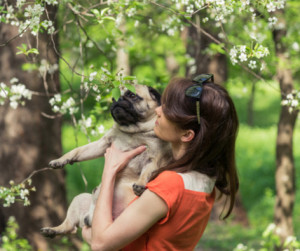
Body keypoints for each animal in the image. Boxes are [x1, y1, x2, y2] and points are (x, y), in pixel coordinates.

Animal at [40, 84, 171, 237]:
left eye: (132, 95)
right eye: (115, 98)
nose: (117, 100)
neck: (133, 132)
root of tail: (89, 219)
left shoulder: (153, 159)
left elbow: (147, 171)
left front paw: (140, 183)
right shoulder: (102, 144)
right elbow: (77, 151)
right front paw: (61, 160)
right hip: (79, 199)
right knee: (69, 227)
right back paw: (51, 230)